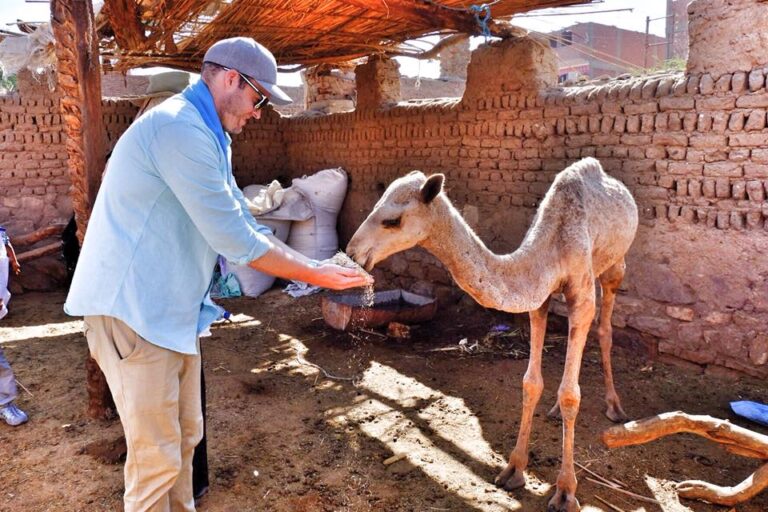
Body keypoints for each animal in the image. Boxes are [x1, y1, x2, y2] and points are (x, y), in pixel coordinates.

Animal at [346, 157, 639, 512]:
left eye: (392, 220)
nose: (352, 252)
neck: (550, 249)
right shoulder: (538, 300)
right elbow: (531, 383)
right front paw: (514, 470)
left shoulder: (581, 295)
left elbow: (571, 394)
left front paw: (566, 491)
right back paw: (555, 412)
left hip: (615, 265)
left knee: (606, 328)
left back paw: (615, 407)